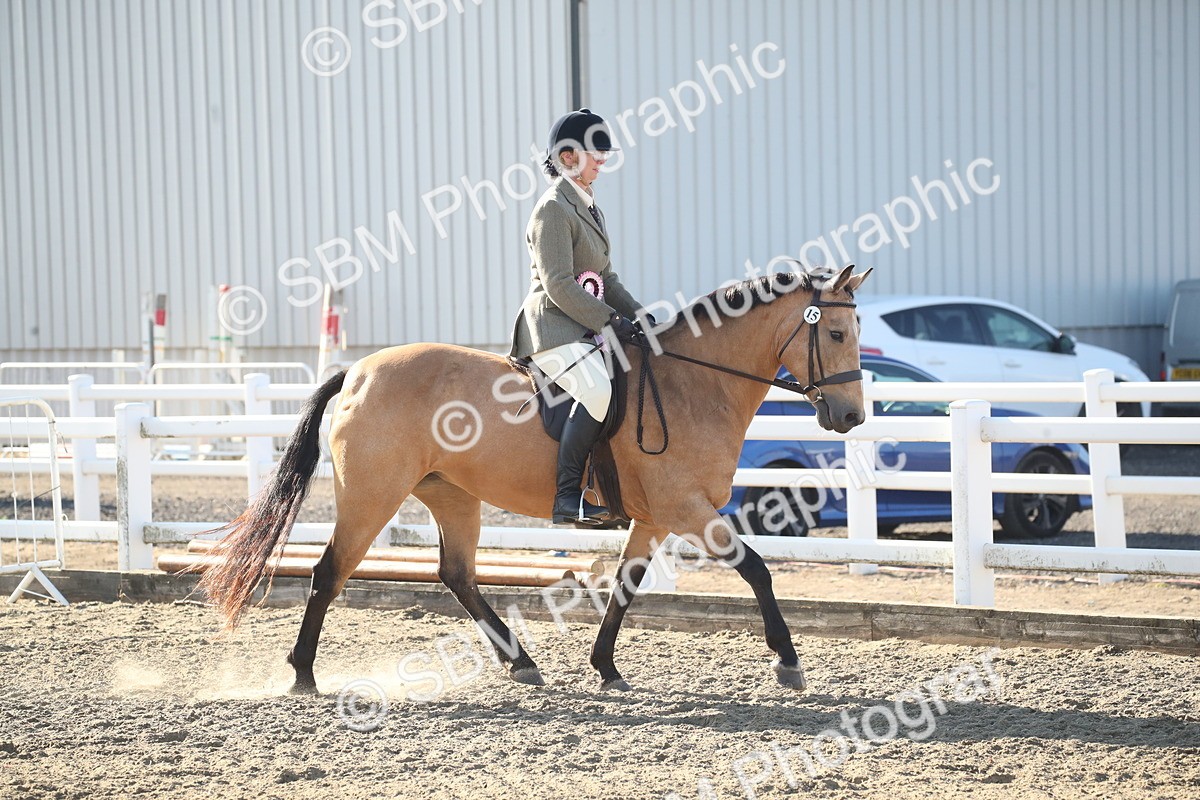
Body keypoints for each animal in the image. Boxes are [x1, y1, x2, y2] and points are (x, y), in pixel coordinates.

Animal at [198, 264, 873, 694]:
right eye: (837, 333)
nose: (850, 417)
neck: (694, 383)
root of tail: (360, 370)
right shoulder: (686, 508)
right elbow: (757, 568)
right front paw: (788, 662)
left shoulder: (655, 518)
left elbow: (624, 587)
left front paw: (606, 667)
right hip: (372, 497)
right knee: (329, 572)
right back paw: (302, 674)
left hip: (452, 495)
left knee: (457, 575)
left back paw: (521, 663)